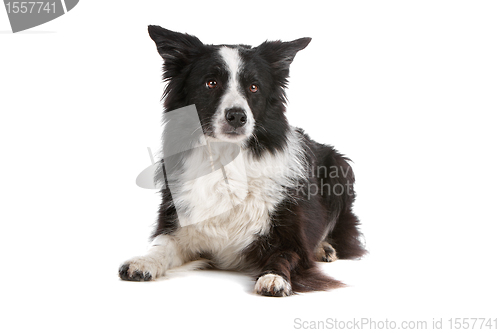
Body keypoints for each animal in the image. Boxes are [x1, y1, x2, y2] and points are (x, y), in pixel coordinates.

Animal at [119, 26, 366, 296]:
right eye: (211, 82)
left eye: (254, 87)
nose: (237, 116)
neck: (227, 159)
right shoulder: (179, 226)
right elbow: (161, 245)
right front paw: (143, 261)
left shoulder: (290, 239)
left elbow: (285, 256)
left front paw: (274, 277)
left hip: (340, 168)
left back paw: (324, 247)